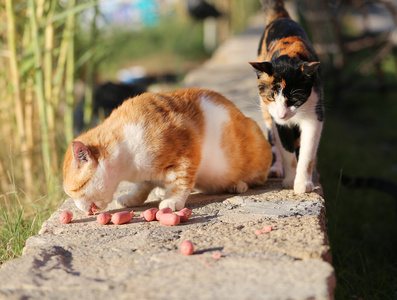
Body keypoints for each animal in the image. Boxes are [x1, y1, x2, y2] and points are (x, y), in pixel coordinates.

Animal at [62, 86, 272, 213]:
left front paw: (172, 200)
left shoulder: (185, 151)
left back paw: (238, 184)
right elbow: (141, 187)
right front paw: (132, 197)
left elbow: (181, 181)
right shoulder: (145, 173)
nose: (79, 208)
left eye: (74, 191)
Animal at [249, 0, 324, 195]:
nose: (283, 114)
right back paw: (275, 168)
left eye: (294, 99)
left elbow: (307, 151)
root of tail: (281, 17)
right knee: (272, 137)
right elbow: (285, 149)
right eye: (271, 97)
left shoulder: (315, 113)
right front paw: (290, 180)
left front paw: (303, 183)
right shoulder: (277, 120)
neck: (290, 54)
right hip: (266, 112)